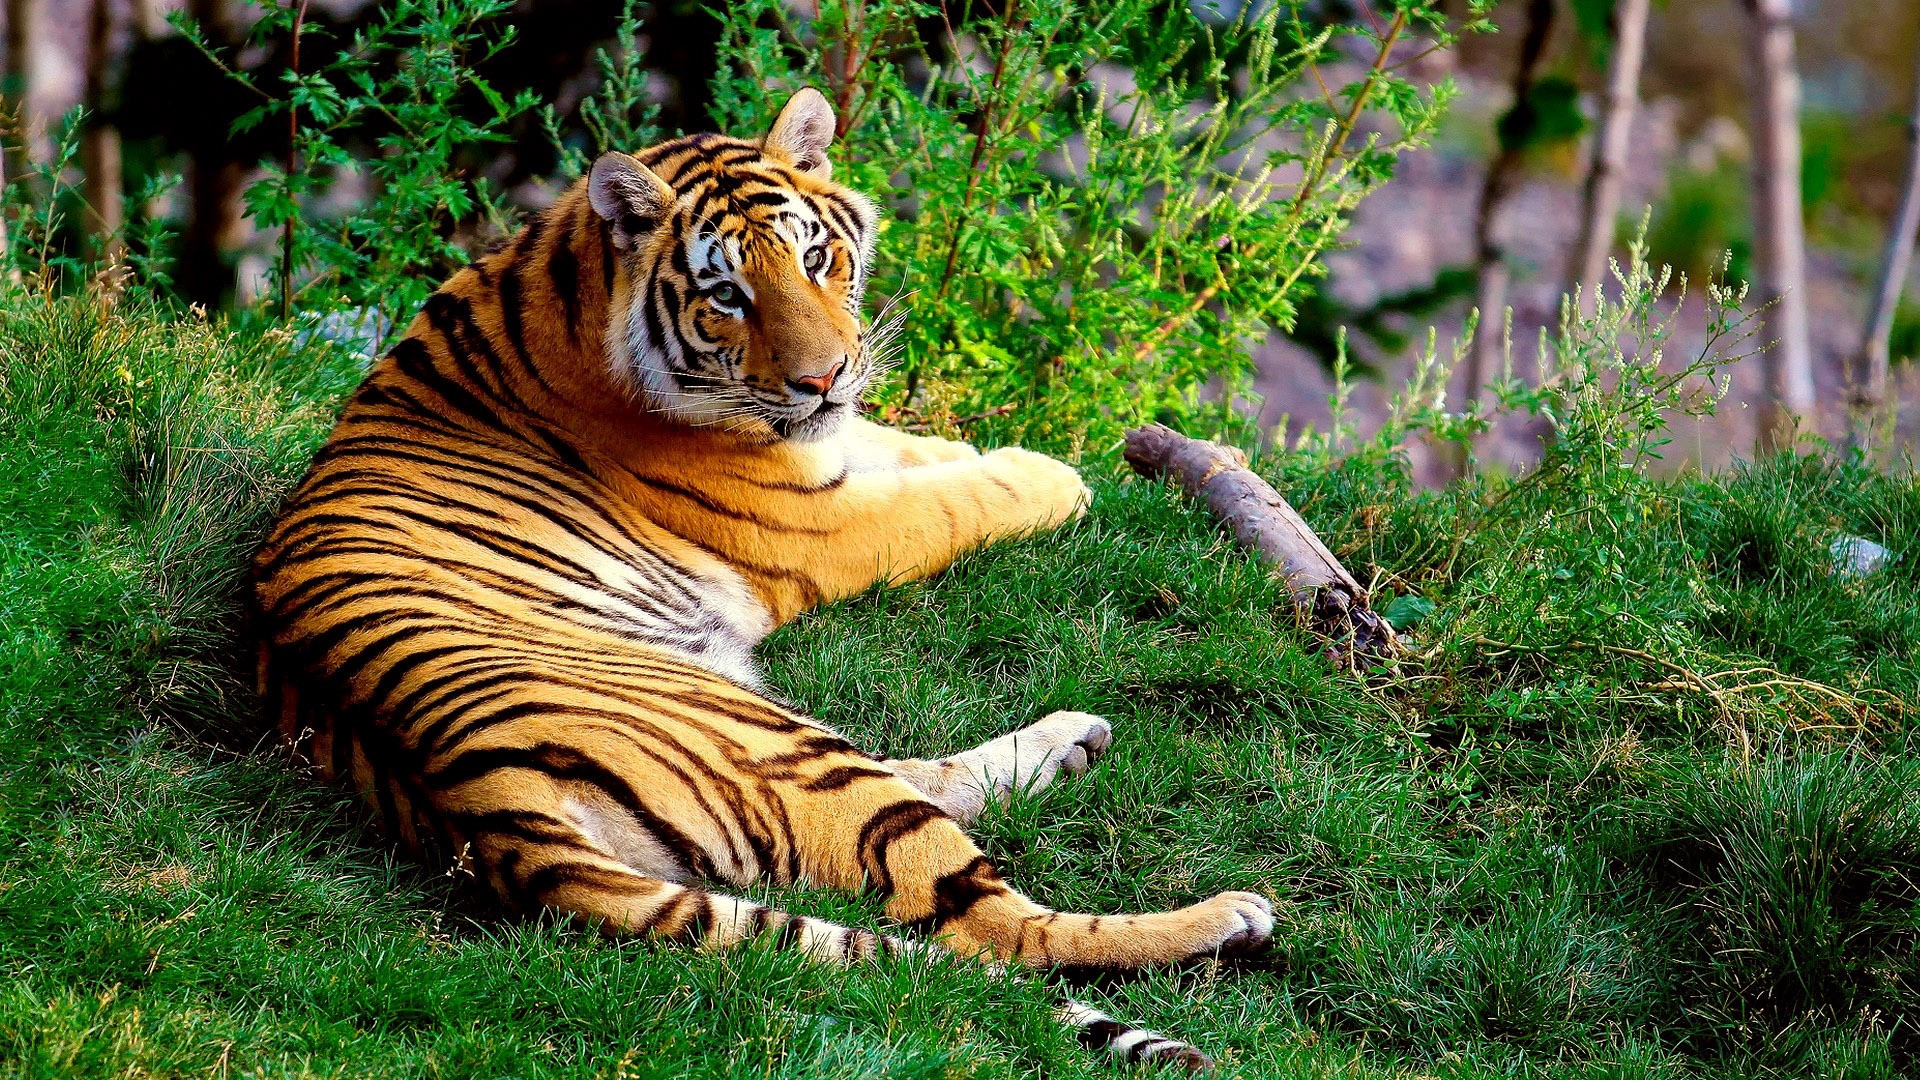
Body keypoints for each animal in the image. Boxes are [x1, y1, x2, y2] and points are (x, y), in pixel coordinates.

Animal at [250, 87, 1273, 1071]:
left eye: (817, 258)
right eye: (727, 296)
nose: (823, 378)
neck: (569, 284)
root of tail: (478, 810)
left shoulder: (831, 450)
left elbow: (906, 447)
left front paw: (968, 446)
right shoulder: (823, 525)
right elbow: (951, 502)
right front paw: (1053, 475)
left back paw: (1073, 742)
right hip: (776, 742)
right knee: (992, 926)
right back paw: (1224, 916)